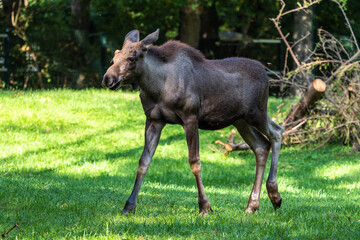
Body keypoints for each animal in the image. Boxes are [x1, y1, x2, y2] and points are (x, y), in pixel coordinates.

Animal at [102, 29, 284, 215]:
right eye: (114, 57)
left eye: (132, 58)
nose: (108, 78)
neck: (157, 88)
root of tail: (266, 75)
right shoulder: (154, 120)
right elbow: (143, 162)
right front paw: (129, 206)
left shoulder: (190, 117)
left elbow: (194, 162)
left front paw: (204, 206)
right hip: (240, 120)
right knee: (261, 146)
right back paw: (252, 205)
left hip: (257, 112)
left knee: (277, 131)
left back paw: (274, 194)